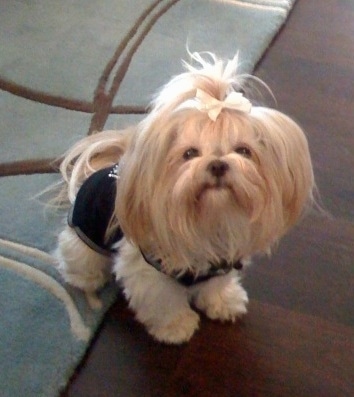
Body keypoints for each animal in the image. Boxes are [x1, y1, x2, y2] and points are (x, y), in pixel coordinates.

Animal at [54, 51, 314, 344]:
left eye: (243, 151)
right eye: (189, 153)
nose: (218, 164)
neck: (210, 219)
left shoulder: (221, 261)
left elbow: (215, 285)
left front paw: (223, 301)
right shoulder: (148, 271)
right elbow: (163, 301)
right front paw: (175, 327)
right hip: (83, 242)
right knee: (79, 262)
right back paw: (86, 279)